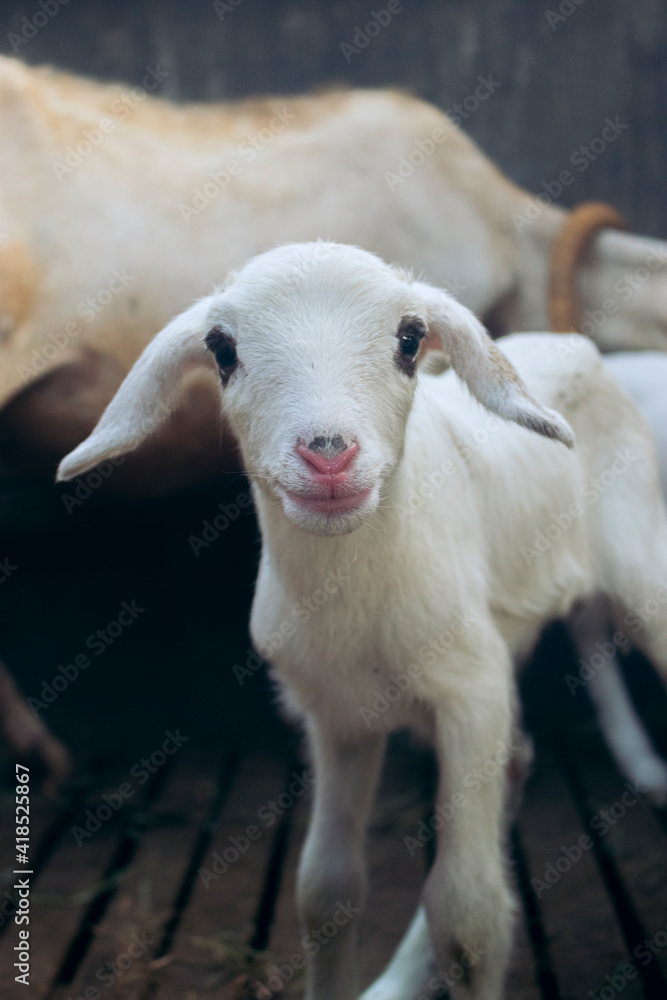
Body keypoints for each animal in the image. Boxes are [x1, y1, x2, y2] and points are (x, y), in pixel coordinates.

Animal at [57, 242, 667, 1000]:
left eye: (409, 339)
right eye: (222, 349)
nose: (327, 453)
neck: (351, 599)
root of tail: (571, 344)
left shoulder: (471, 693)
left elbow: (469, 915)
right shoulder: (338, 714)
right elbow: (326, 889)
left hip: (640, 569)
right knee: (515, 763)